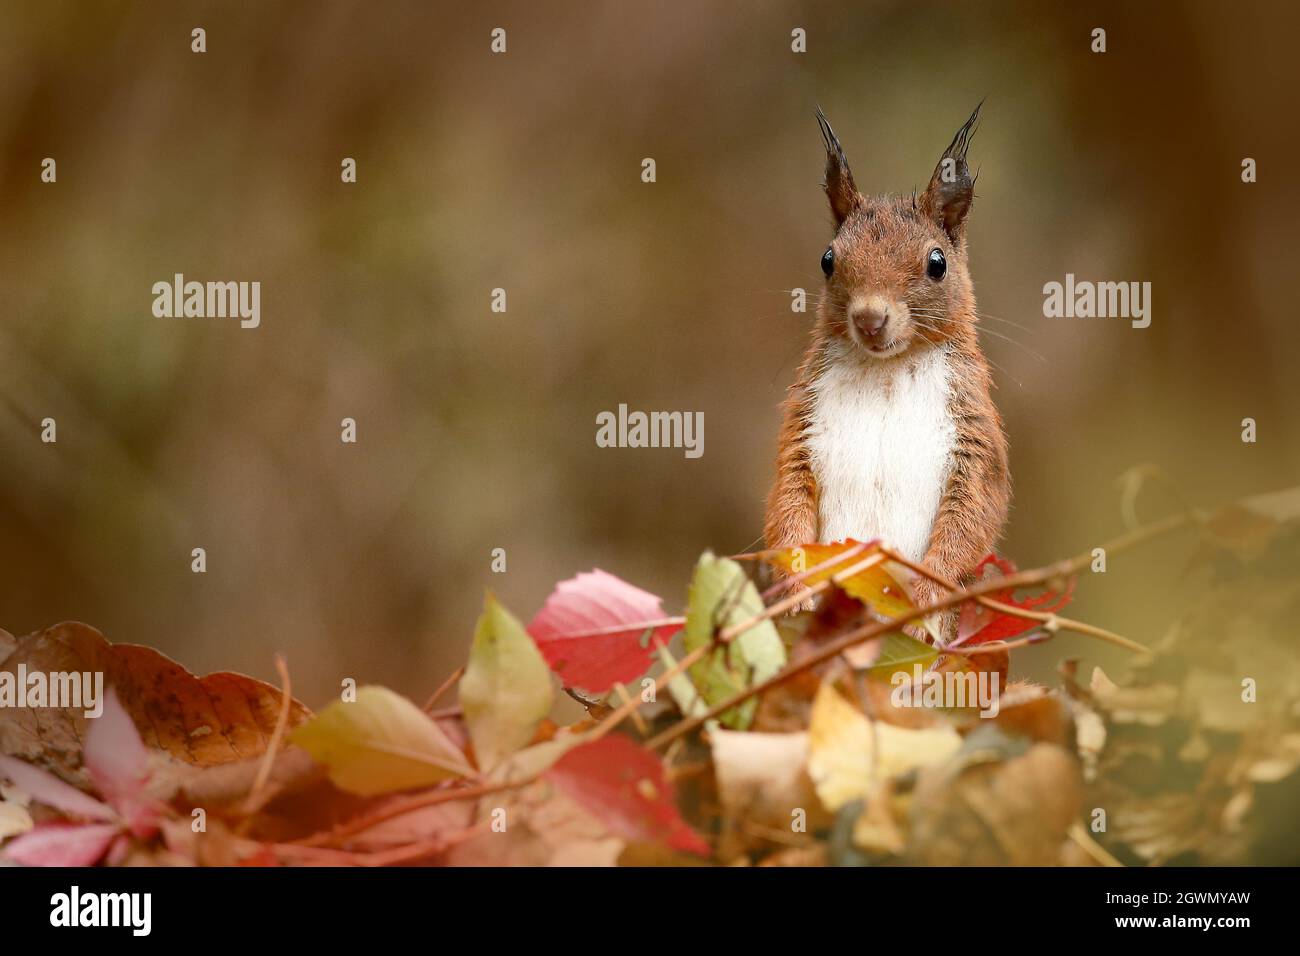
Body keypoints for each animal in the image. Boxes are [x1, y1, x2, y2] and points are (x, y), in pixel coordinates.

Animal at [759, 106, 1013, 629]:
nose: (869, 319)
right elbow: (786, 503)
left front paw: (925, 600)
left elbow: (972, 516)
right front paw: (795, 591)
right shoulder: (801, 424)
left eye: (937, 263)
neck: (888, 371)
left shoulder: (975, 432)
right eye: (827, 259)